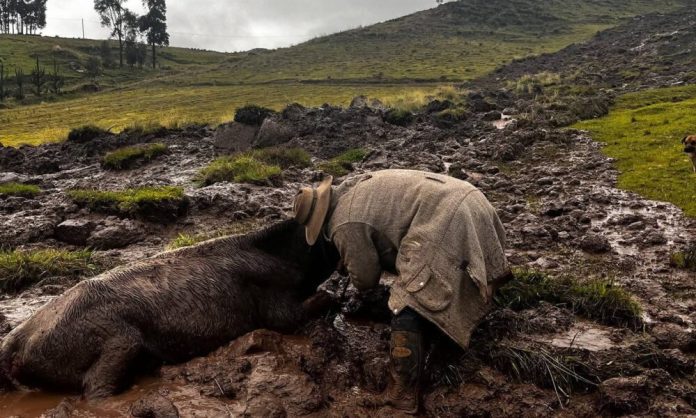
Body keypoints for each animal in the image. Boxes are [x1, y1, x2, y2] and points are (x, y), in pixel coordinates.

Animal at [0, 220, 338, 398]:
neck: (287, 257)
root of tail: (16, 337)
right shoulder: (274, 299)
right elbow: (290, 317)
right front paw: (329, 295)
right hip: (115, 338)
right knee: (96, 388)